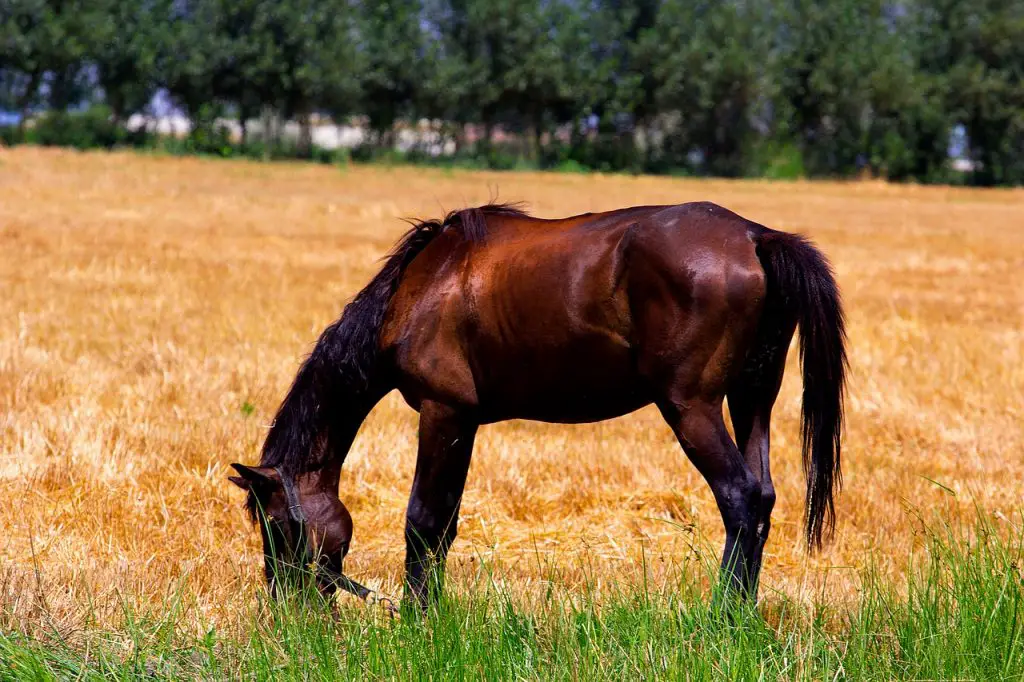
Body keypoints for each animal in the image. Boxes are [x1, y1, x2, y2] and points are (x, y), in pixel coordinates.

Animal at [232, 200, 847, 606]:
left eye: (278, 527)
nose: (291, 608)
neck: (423, 285)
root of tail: (755, 236)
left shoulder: (442, 412)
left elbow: (422, 521)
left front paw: (415, 619)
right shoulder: (466, 422)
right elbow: (445, 524)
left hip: (691, 407)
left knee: (739, 497)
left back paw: (723, 615)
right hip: (752, 400)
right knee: (762, 495)